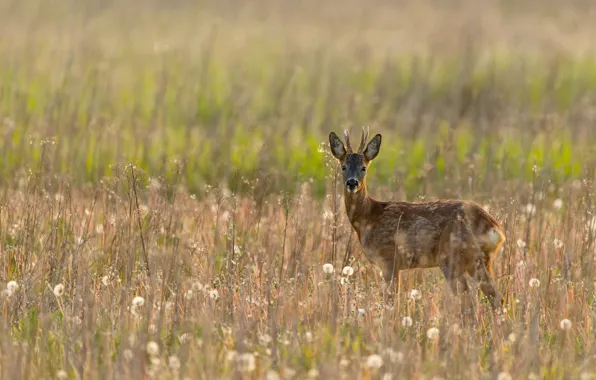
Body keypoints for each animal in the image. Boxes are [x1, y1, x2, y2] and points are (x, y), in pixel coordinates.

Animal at [328, 127, 506, 308]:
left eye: (363, 168)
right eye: (343, 167)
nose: (352, 183)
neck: (370, 217)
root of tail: (494, 227)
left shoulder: (389, 259)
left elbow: (391, 302)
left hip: (452, 256)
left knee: (469, 302)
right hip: (481, 260)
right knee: (496, 297)